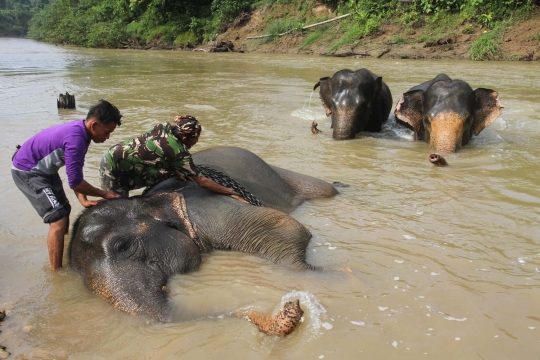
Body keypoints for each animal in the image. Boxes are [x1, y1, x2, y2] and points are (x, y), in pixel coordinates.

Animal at [67, 148, 338, 322]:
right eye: (76, 272)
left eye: (122, 246)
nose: (285, 308)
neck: (146, 200)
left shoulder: (209, 211)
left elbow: (287, 227)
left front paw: (333, 276)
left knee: (324, 189)